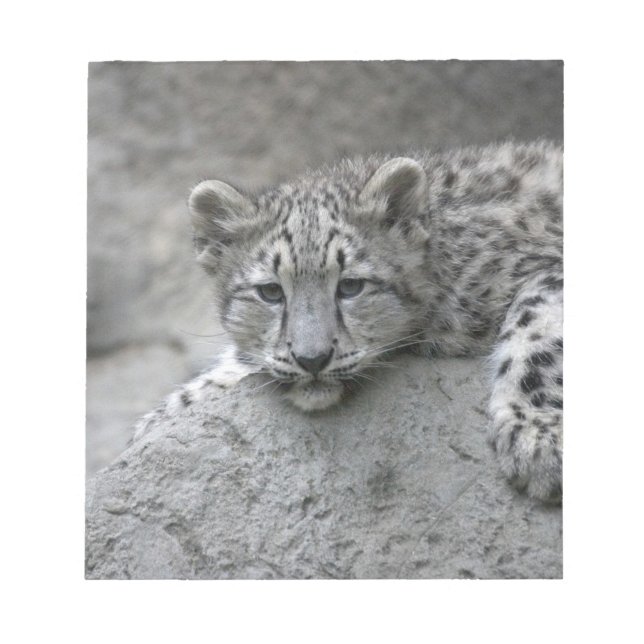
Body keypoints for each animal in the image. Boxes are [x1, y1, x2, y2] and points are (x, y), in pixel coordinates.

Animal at [134, 140, 563, 503]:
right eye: (270, 292)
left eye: (351, 286)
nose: (312, 359)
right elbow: (231, 365)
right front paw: (156, 423)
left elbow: (539, 330)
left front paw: (537, 440)